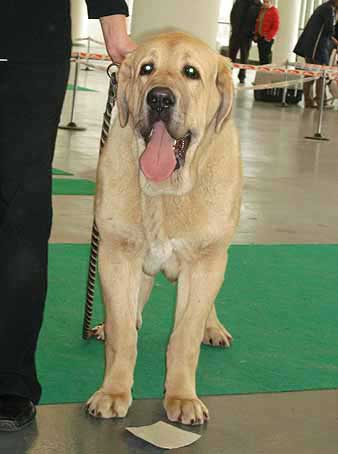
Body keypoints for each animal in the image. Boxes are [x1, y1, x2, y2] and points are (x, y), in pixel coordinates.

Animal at [86, 31, 242, 426]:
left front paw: (182, 398)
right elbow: (124, 334)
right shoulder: (117, 253)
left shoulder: (205, 262)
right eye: (146, 68)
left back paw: (213, 328)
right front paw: (112, 392)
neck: (165, 194)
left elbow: (184, 337)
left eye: (191, 72)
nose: (158, 98)